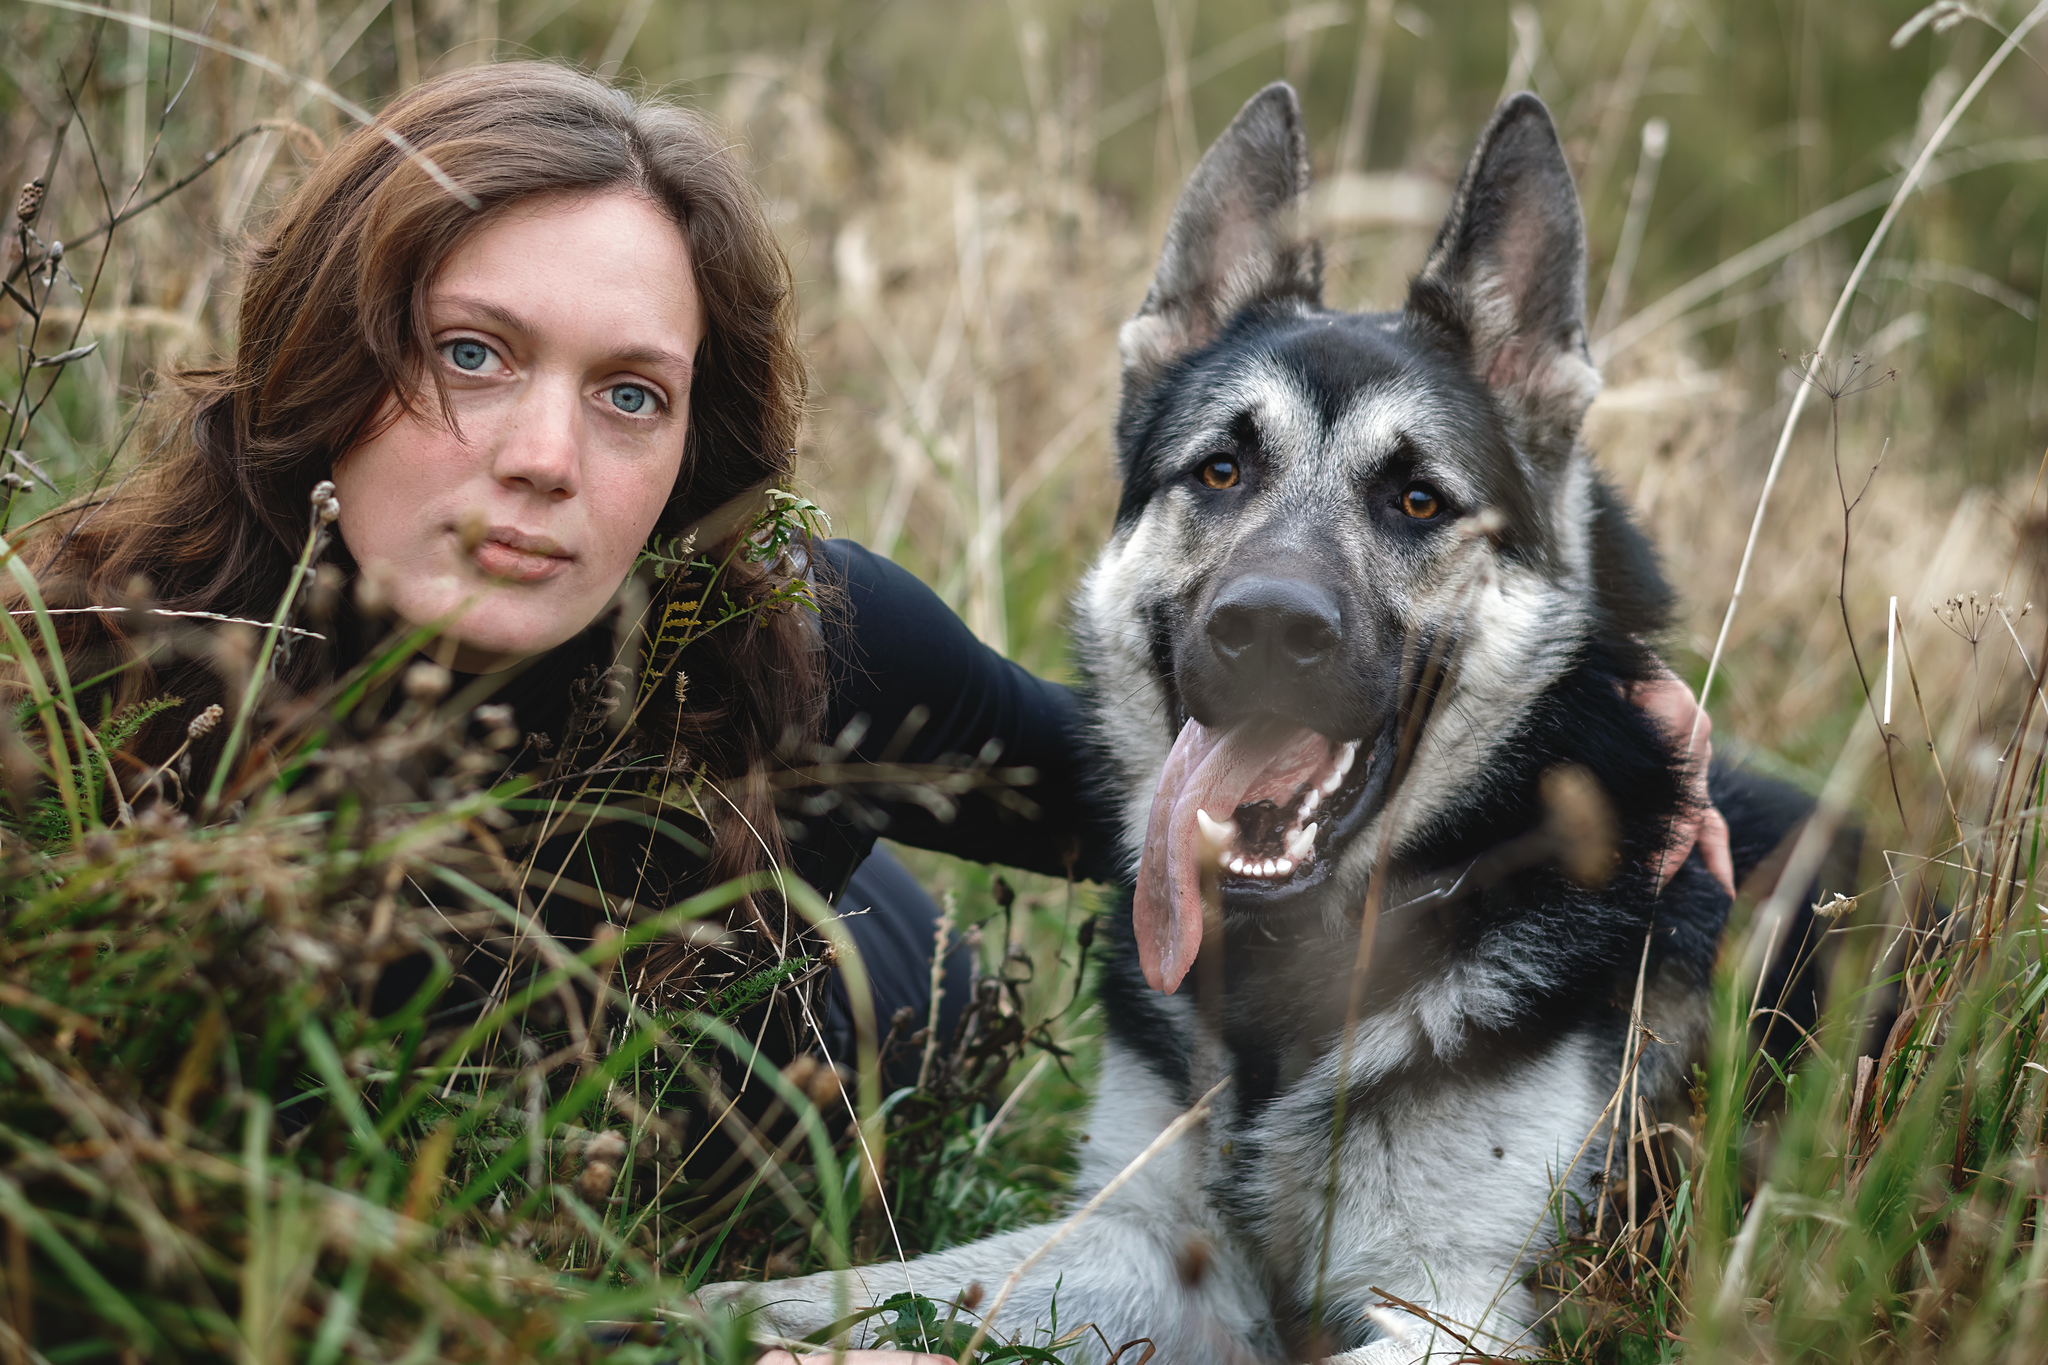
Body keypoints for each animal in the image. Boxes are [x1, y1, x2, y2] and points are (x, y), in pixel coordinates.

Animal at [700, 87, 1810, 1365]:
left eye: (1416, 500)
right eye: (1220, 471)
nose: (1267, 626)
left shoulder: (1456, 1310)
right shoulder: (1150, 1242)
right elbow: (852, 1290)